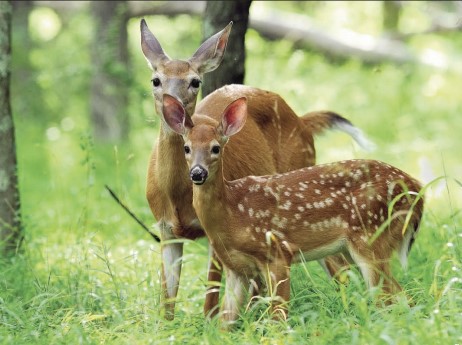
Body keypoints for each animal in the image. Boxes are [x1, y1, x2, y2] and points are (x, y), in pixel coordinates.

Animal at [141, 20, 376, 318]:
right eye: (156, 80)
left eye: (195, 81)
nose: (174, 108)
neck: (177, 198)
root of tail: (303, 121)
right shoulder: (165, 229)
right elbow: (167, 299)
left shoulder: (216, 228)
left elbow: (211, 293)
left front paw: (209, 323)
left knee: (340, 267)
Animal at [162, 94, 422, 326]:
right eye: (186, 148)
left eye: (216, 148)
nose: (198, 173)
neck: (233, 214)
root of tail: (417, 190)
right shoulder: (235, 267)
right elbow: (226, 323)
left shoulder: (277, 251)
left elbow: (277, 317)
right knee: (402, 297)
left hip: (371, 236)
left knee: (387, 299)